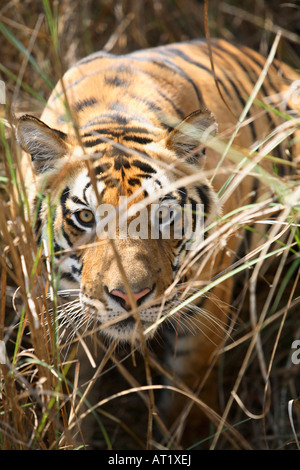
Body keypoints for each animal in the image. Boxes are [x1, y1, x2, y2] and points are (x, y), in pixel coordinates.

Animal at [16, 38, 300, 446]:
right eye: (85, 217)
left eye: (163, 215)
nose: (130, 298)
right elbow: (70, 397)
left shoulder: (206, 299)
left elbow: (188, 394)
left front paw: (183, 438)